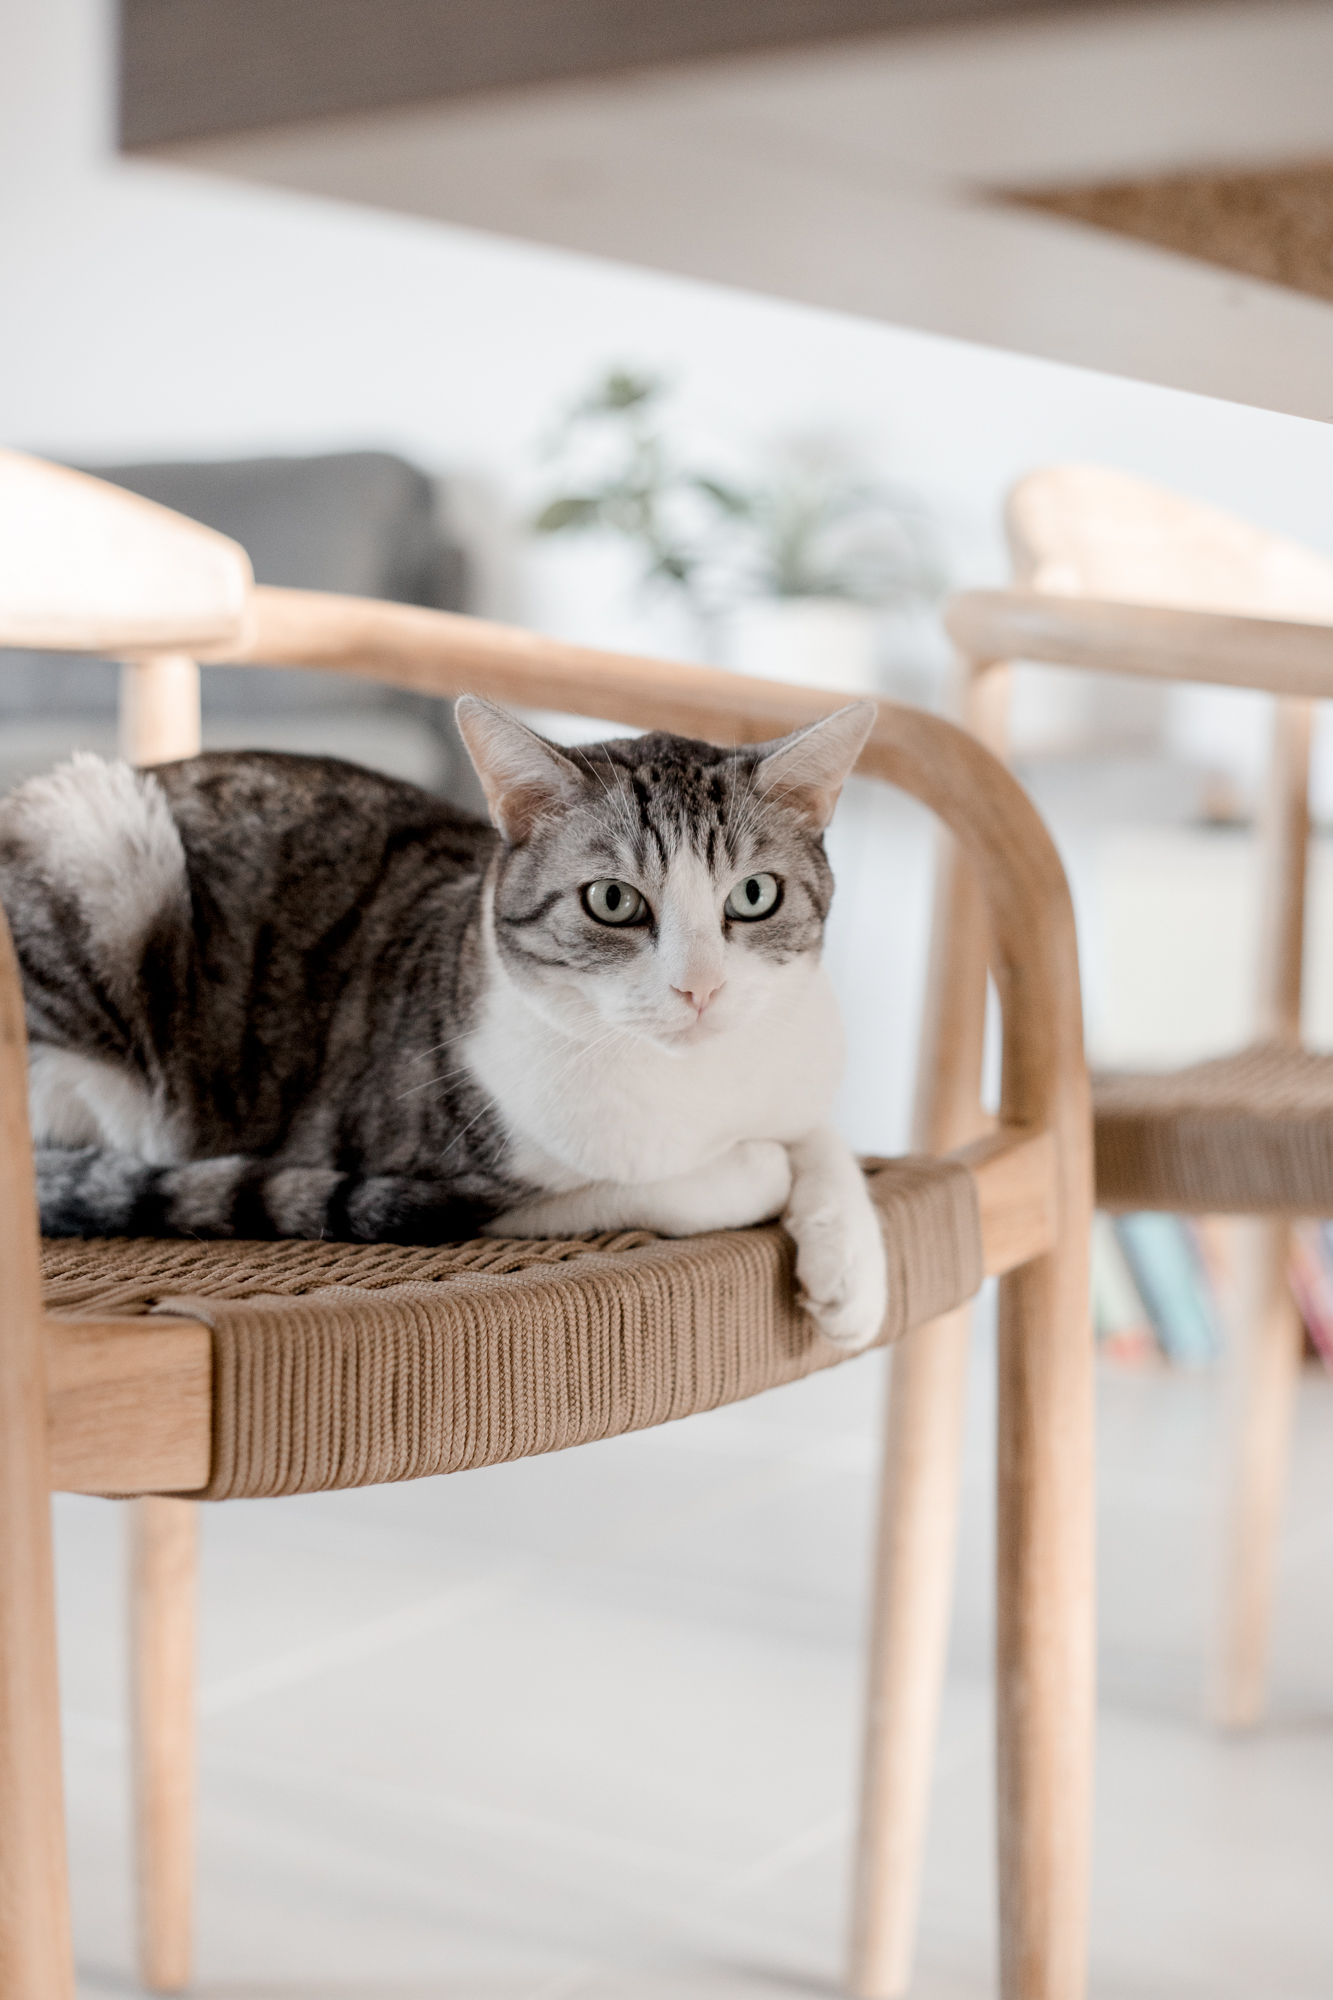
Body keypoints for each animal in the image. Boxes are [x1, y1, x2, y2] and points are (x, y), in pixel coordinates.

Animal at [2, 696, 892, 1352]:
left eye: (753, 896)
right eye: (612, 901)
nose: (698, 988)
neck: (696, 1089)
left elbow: (822, 1138)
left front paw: (849, 1266)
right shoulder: (444, 1176)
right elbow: (653, 1186)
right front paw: (755, 1171)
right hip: (100, 859)